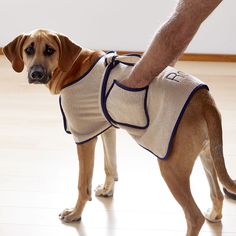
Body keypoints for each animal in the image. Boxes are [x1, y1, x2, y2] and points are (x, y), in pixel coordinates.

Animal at [3, 29, 236, 236]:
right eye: (29, 49)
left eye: (50, 50)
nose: (36, 74)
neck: (73, 67)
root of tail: (205, 99)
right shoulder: (105, 128)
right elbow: (110, 165)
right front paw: (107, 191)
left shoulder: (84, 138)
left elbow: (82, 185)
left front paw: (76, 213)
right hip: (207, 156)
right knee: (217, 195)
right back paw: (214, 214)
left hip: (172, 168)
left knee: (193, 217)